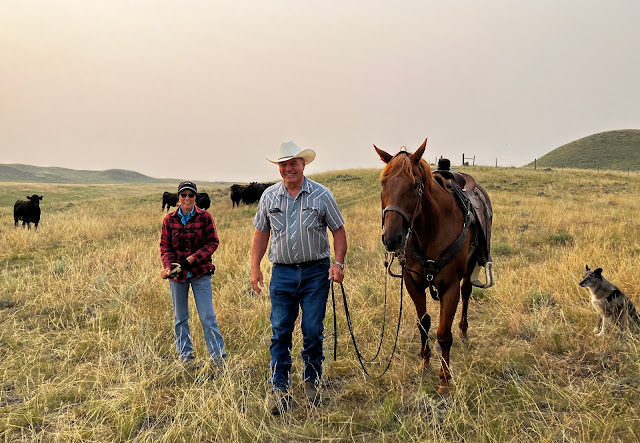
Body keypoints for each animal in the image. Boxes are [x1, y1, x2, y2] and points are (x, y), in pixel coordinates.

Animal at [375, 139, 493, 395]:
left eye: (414, 185)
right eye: (383, 183)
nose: (392, 239)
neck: (431, 229)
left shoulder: (450, 287)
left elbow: (443, 334)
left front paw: (445, 380)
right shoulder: (413, 283)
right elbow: (424, 324)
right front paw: (425, 362)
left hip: (468, 271)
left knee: (467, 293)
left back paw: (464, 330)